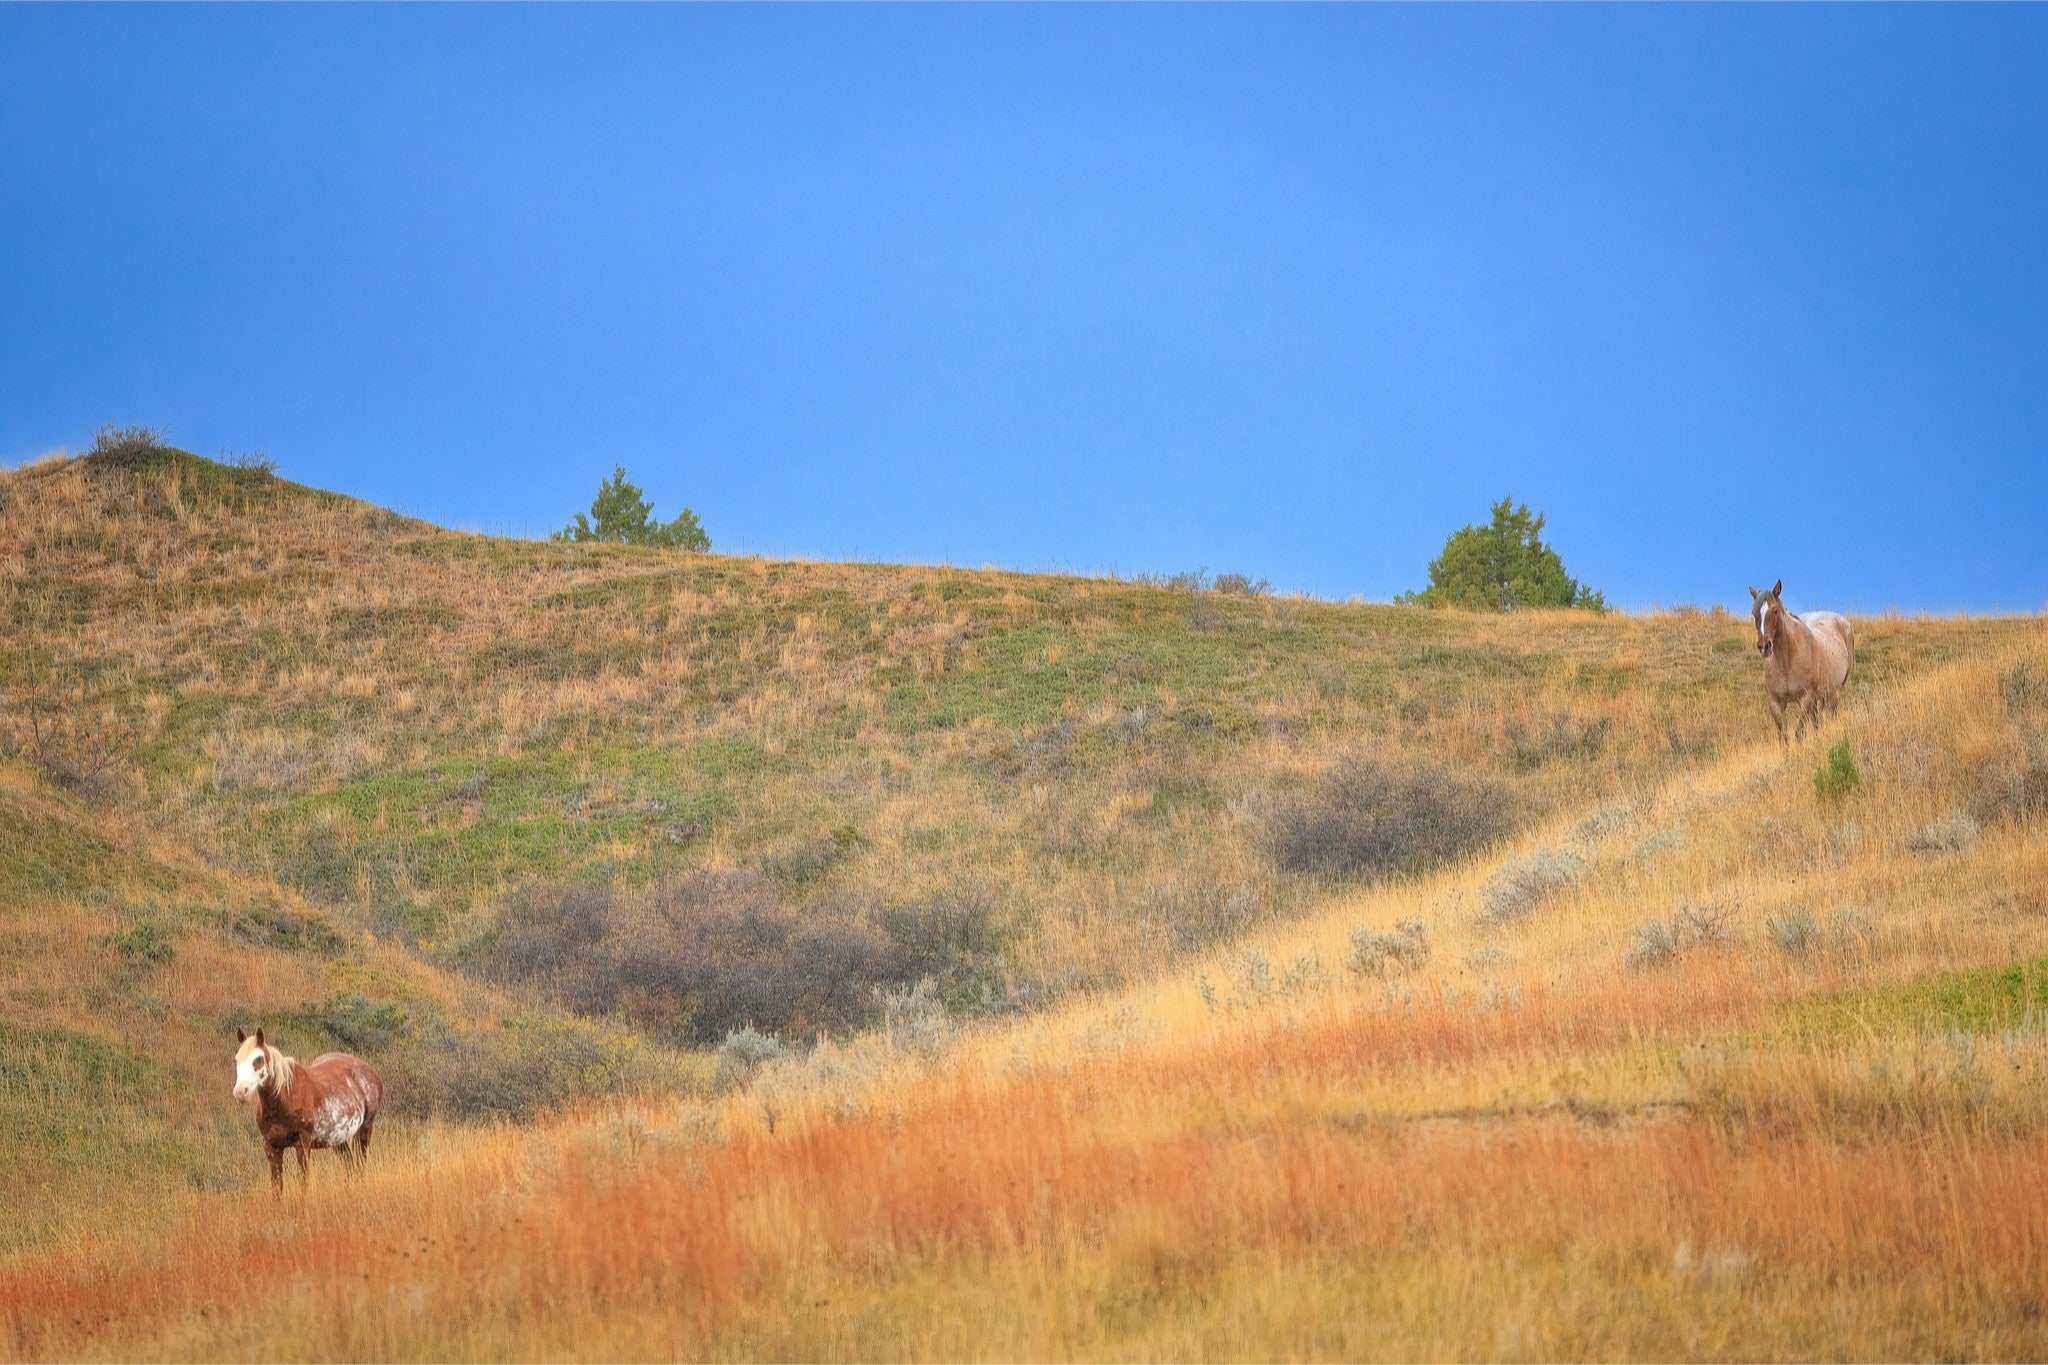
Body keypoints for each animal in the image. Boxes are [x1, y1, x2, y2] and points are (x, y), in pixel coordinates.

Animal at [232, 1027, 383, 1196]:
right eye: (237, 1059)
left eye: (258, 1059)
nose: (240, 1092)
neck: (286, 1098)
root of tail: (371, 1072)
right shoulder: (272, 1148)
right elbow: (277, 1188)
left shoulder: (303, 1145)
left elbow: (303, 1184)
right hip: (338, 1139)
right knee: (349, 1165)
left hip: (365, 1130)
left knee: (360, 1166)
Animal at [1748, 579, 1855, 742]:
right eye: (1754, 613)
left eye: (1775, 611)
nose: (1764, 646)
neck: (1787, 663)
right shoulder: (1775, 702)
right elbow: (1783, 736)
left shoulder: (1805, 699)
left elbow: (1799, 733)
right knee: (1817, 721)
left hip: (1835, 692)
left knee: (1831, 716)